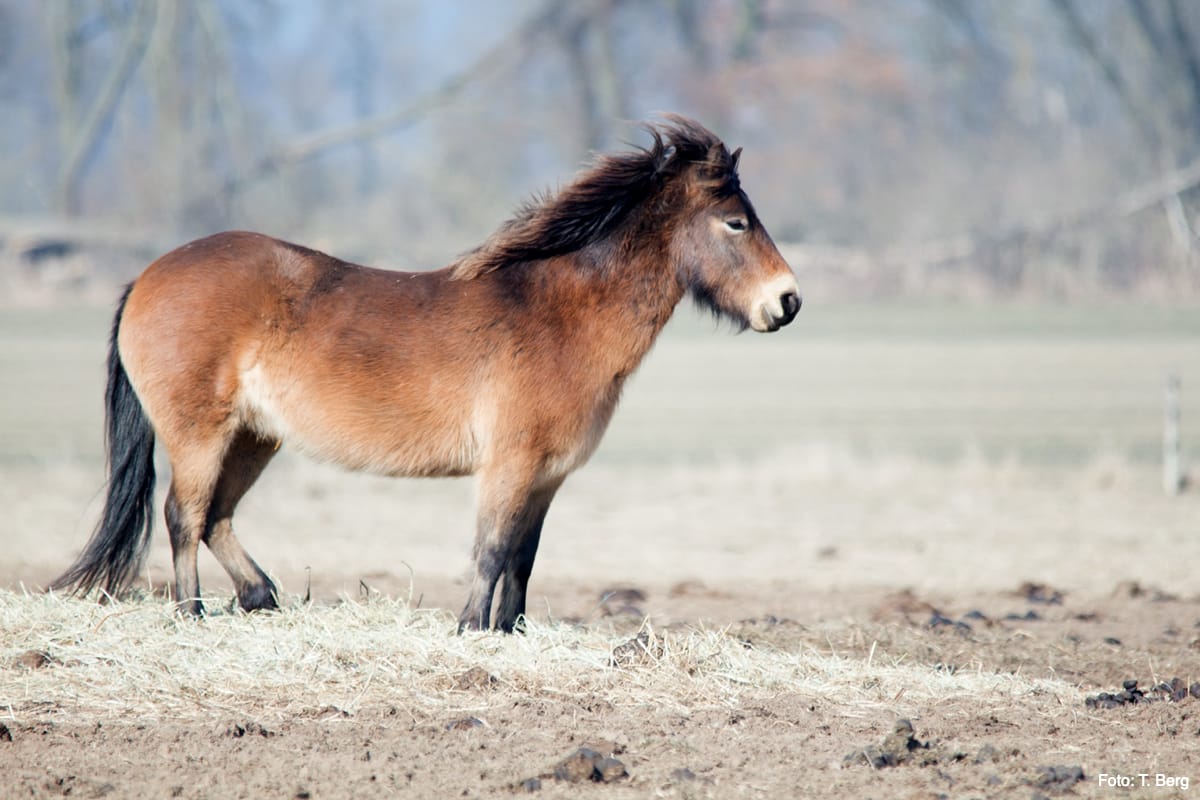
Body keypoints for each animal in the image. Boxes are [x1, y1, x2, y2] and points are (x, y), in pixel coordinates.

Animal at [58, 117, 806, 633]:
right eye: (737, 222)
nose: (788, 301)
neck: (558, 313)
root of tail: (149, 275)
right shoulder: (509, 465)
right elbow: (491, 549)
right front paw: (471, 628)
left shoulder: (548, 475)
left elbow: (524, 556)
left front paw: (510, 631)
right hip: (200, 434)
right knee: (183, 516)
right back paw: (192, 615)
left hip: (253, 438)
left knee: (216, 518)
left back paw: (260, 598)